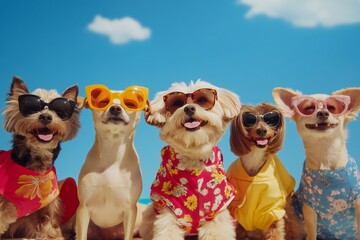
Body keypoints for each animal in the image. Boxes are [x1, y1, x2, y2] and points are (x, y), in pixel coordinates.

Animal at [76, 84, 149, 240]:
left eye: (130, 103)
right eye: (103, 102)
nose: (115, 108)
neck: (113, 153)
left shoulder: (130, 210)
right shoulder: (83, 208)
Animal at [139, 79, 240, 239]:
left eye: (203, 100)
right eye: (177, 103)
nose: (189, 108)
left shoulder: (217, 211)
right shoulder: (169, 209)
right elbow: (168, 231)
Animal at [226, 103, 296, 240]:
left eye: (271, 119)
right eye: (249, 120)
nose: (262, 130)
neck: (255, 158)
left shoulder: (272, 210)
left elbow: (275, 233)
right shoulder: (240, 214)